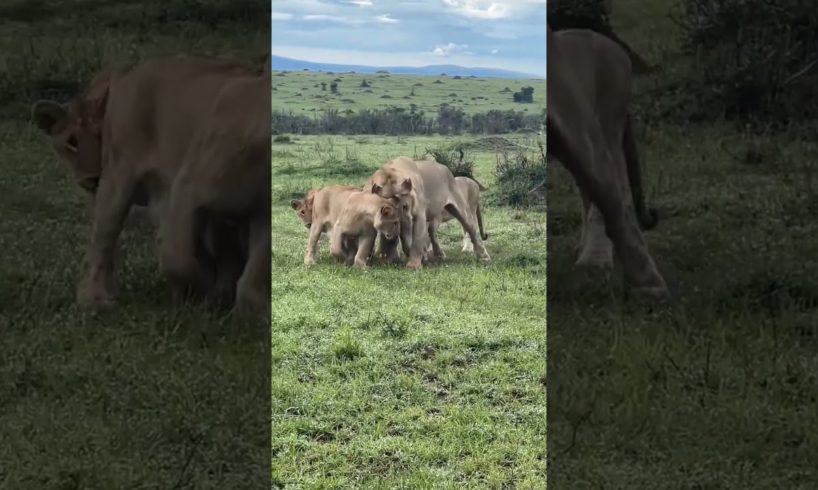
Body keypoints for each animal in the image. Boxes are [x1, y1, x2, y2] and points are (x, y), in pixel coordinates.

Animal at [544, 26, 668, 298]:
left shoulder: (574, 118)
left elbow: (607, 191)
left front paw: (648, 284)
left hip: (609, 114)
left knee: (611, 180)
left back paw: (594, 260)